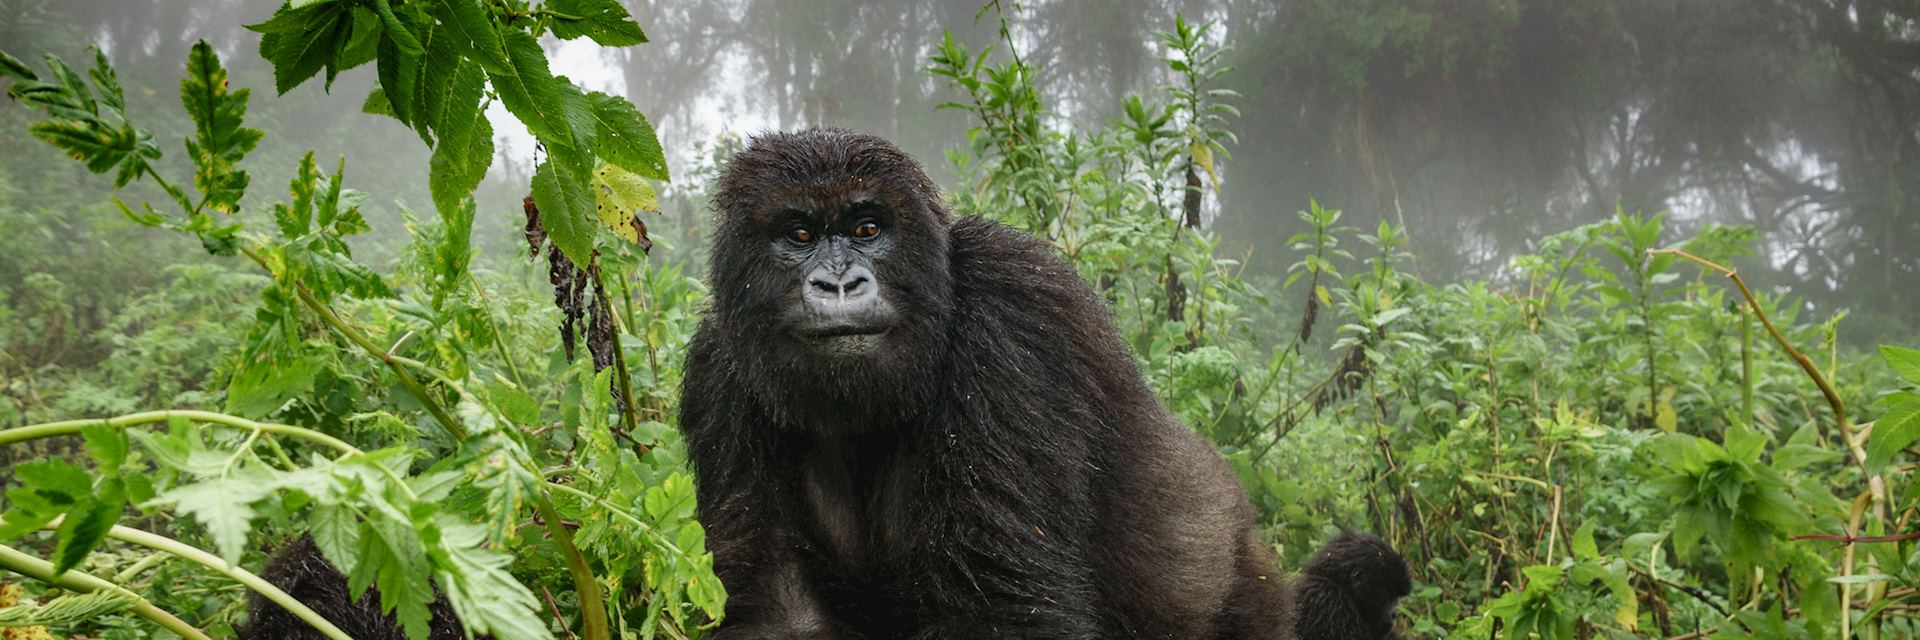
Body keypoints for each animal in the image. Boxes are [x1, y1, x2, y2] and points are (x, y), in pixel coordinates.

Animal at [679, 126, 1413, 634]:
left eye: (867, 227)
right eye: (798, 235)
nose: (839, 284)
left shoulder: (1014, 313)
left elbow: (1004, 610)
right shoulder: (721, 367)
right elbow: (778, 613)